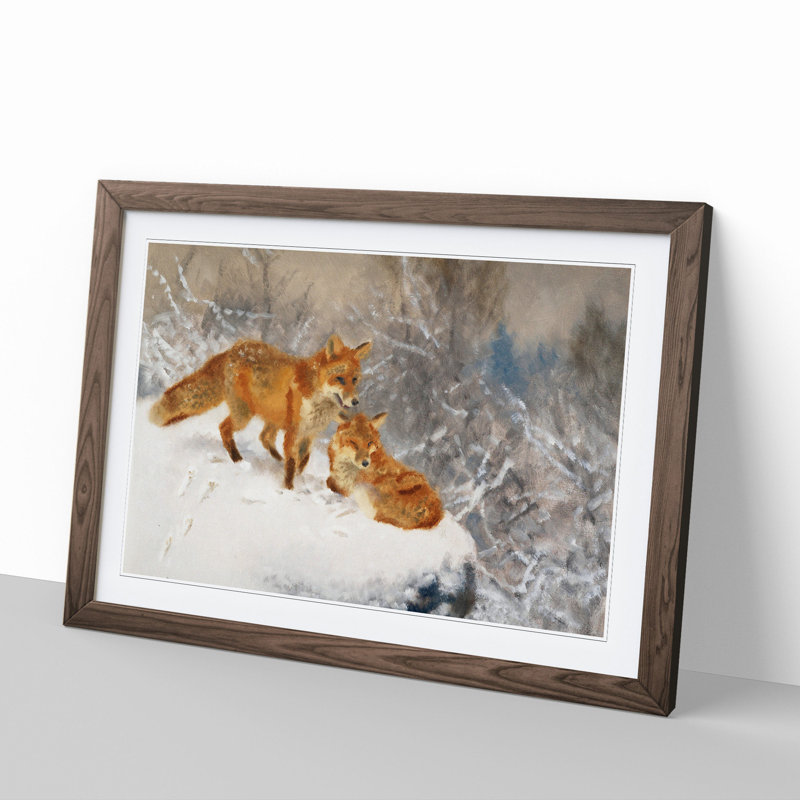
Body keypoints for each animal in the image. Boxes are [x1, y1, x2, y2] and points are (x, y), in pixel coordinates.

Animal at [149, 334, 372, 489]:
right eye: (340, 379)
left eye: (354, 380)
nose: (355, 401)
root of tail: (234, 348)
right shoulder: (294, 431)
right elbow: (292, 463)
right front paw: (289, 488)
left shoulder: (310, 433)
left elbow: (304, 458)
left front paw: (299, 475)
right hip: (244, 415)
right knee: (224, 428)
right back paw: (237, 460)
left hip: (270, 416)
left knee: (264, 437)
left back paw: (272, 459)